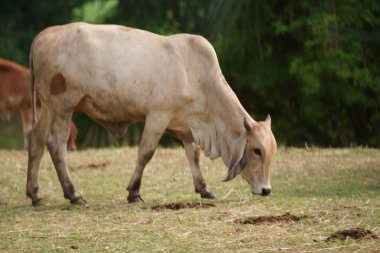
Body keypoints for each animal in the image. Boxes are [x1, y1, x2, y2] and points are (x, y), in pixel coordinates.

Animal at [26, 22, 276, 206]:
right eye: (257, 150)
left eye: (271, 152)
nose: (266, 190)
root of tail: (44, 34)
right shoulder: (158, 116)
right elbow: (145, 153)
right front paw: (134, 192)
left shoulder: (185, 124)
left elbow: (193, 155)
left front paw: (204, 189)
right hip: (63, 107)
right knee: (56, 145)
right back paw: (73, 194)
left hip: (48, 107)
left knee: (36, 140)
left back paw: (35, 194)